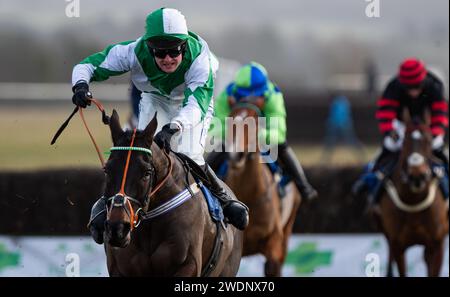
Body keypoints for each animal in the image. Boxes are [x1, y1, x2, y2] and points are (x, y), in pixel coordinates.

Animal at [220, 97, 300, 276]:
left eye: (255, 122)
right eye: (229, 119)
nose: (235, 154)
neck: (249, 195)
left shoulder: (274, 242)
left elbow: (272, 266)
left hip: (288, 225)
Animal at [374, 112, 448, 276]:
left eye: (428, 141)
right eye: (404, 141)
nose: (417, 176)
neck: (414, 200)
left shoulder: (437, 244)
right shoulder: (398, 245)